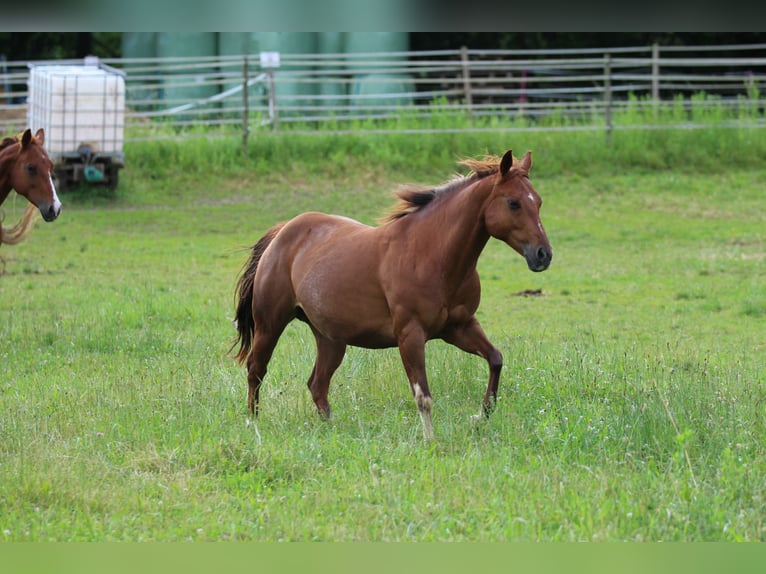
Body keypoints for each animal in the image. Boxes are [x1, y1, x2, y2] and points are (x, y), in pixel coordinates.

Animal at [232, 150, 552, 440]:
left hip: (331, 339)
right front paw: (430, 440)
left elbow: (495, 359)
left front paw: (481, 415)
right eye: (513, 202)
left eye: (538, 201)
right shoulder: (410, 335)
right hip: (270, 325)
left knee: (317, 384)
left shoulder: (460, 327)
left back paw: (330, 430)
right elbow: (423, 396)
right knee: (256, 370)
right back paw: (252, 423)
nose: (543, 255)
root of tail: (283, 231)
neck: (431, 254)